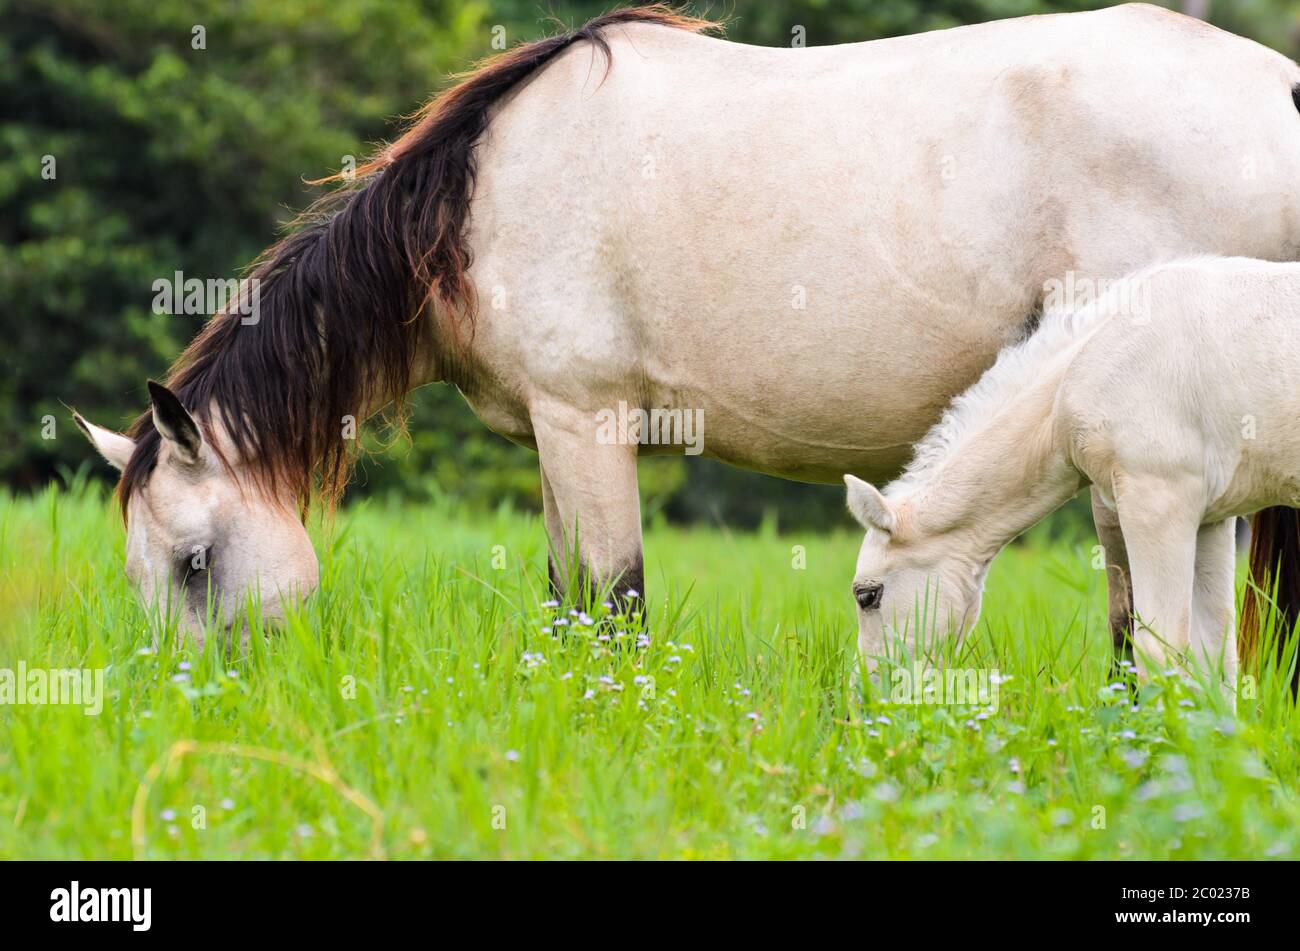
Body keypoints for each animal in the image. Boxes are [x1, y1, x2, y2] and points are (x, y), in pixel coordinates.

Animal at [847, 258, 1300, 691]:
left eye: (867, 595)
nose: (868, 693)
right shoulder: (1211, 519)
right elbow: (1215, 661)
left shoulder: (1158, 501)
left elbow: (1159, 649)